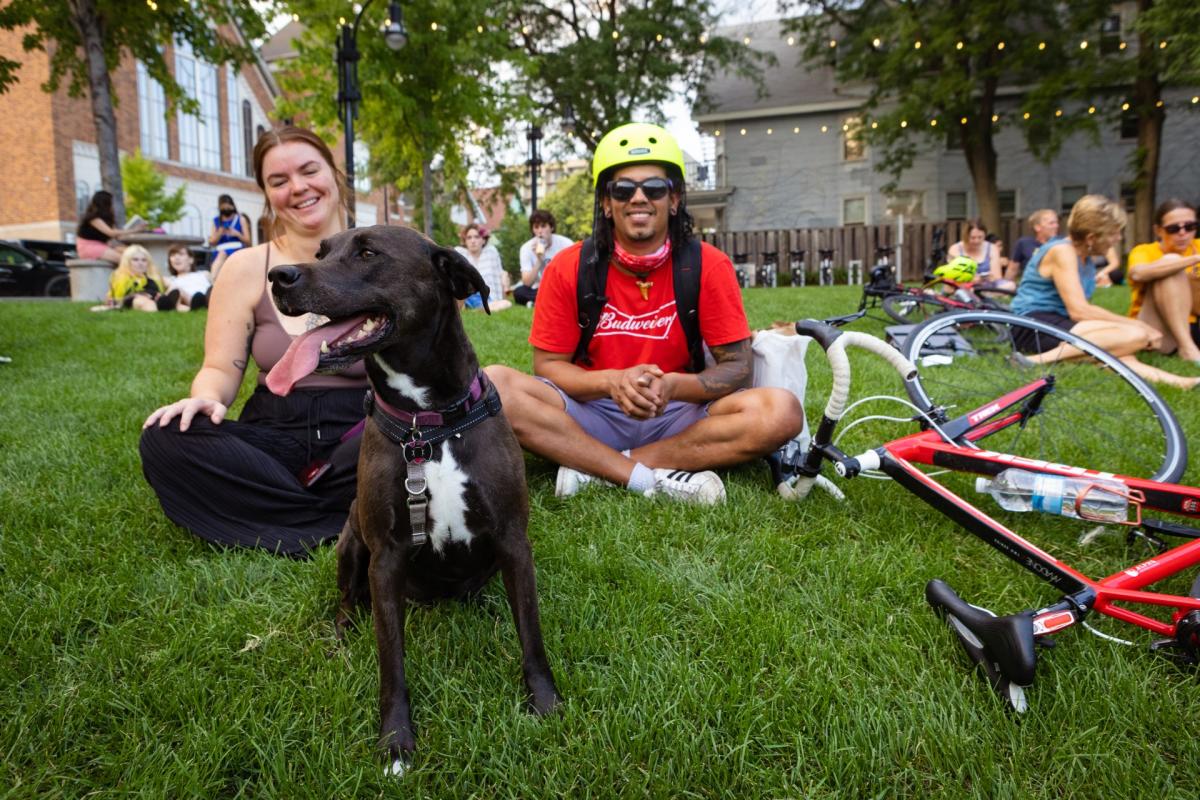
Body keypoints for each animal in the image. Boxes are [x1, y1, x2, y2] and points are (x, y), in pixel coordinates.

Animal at [265, 224, 559, 767]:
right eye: (321, 251)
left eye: (366, 252)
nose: (279, 275)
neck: (429, 426)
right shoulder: (386, 557)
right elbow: (391, 661)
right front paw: (396, 741)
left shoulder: (513, 540)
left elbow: (530, 633)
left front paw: (546, 704)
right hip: (351, 544)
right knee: (345, 603)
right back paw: (340, 638)